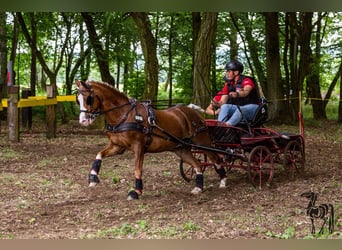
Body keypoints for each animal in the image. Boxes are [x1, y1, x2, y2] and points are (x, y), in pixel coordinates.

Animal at [75, 79, 226, 200]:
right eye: (78, 100)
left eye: (88, 98)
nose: (83, 121)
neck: (124, 115)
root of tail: (194, 112)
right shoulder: (117, 146)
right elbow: (98, 155)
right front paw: (93, 178)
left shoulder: (138, 146)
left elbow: (138, 169)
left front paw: (136, 191)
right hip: (181, 148)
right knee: (198, 165)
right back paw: (198, 187)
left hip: (202, 142)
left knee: (217, 159)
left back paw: (223, 181)